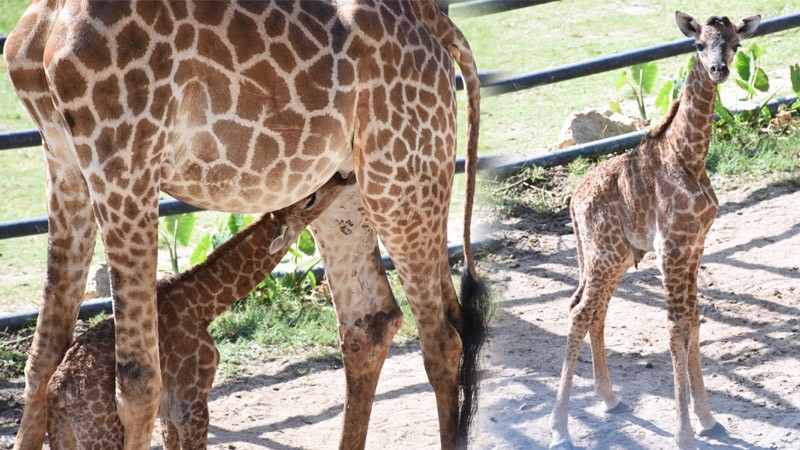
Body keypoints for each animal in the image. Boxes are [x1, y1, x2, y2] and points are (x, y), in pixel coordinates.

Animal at [46, 173, 354, 450]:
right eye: (310, 199)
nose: (343, 176)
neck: (201, 305)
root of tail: (58, 394)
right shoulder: (191, 401)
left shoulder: (166, 413)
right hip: (103, 436)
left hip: (65, 436)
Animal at [552, 10, 764, 450]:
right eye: (698, 44)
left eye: (736, 44)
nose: (718, 70)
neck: (689, 159)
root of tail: (573, 201)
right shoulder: (671, 249)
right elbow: (675, 330)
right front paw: (685, 432)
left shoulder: (695, 246)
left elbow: (695, 324)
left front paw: (708, 420)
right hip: (603, 254)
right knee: (580, 312)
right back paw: (559, 428)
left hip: (615, 257)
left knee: (595, 312)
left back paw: (610, 399)